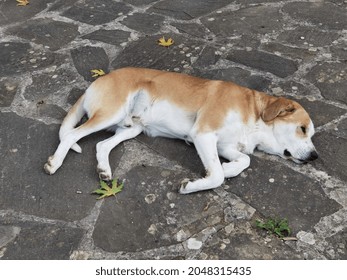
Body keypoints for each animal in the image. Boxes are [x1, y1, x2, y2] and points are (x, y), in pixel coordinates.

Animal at [44, 68, 320, 195]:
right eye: (303, 129)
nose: (315, 157)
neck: (255, 116)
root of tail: (98, 80)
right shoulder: (203, 135)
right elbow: (216, 175)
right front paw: (193, 184)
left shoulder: (225, 146)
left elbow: (244, 161)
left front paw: (229, 168)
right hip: (109, 114)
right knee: (72, 135)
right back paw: (54, 163)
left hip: (131, 128)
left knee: (101, 145)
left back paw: (104, 170)